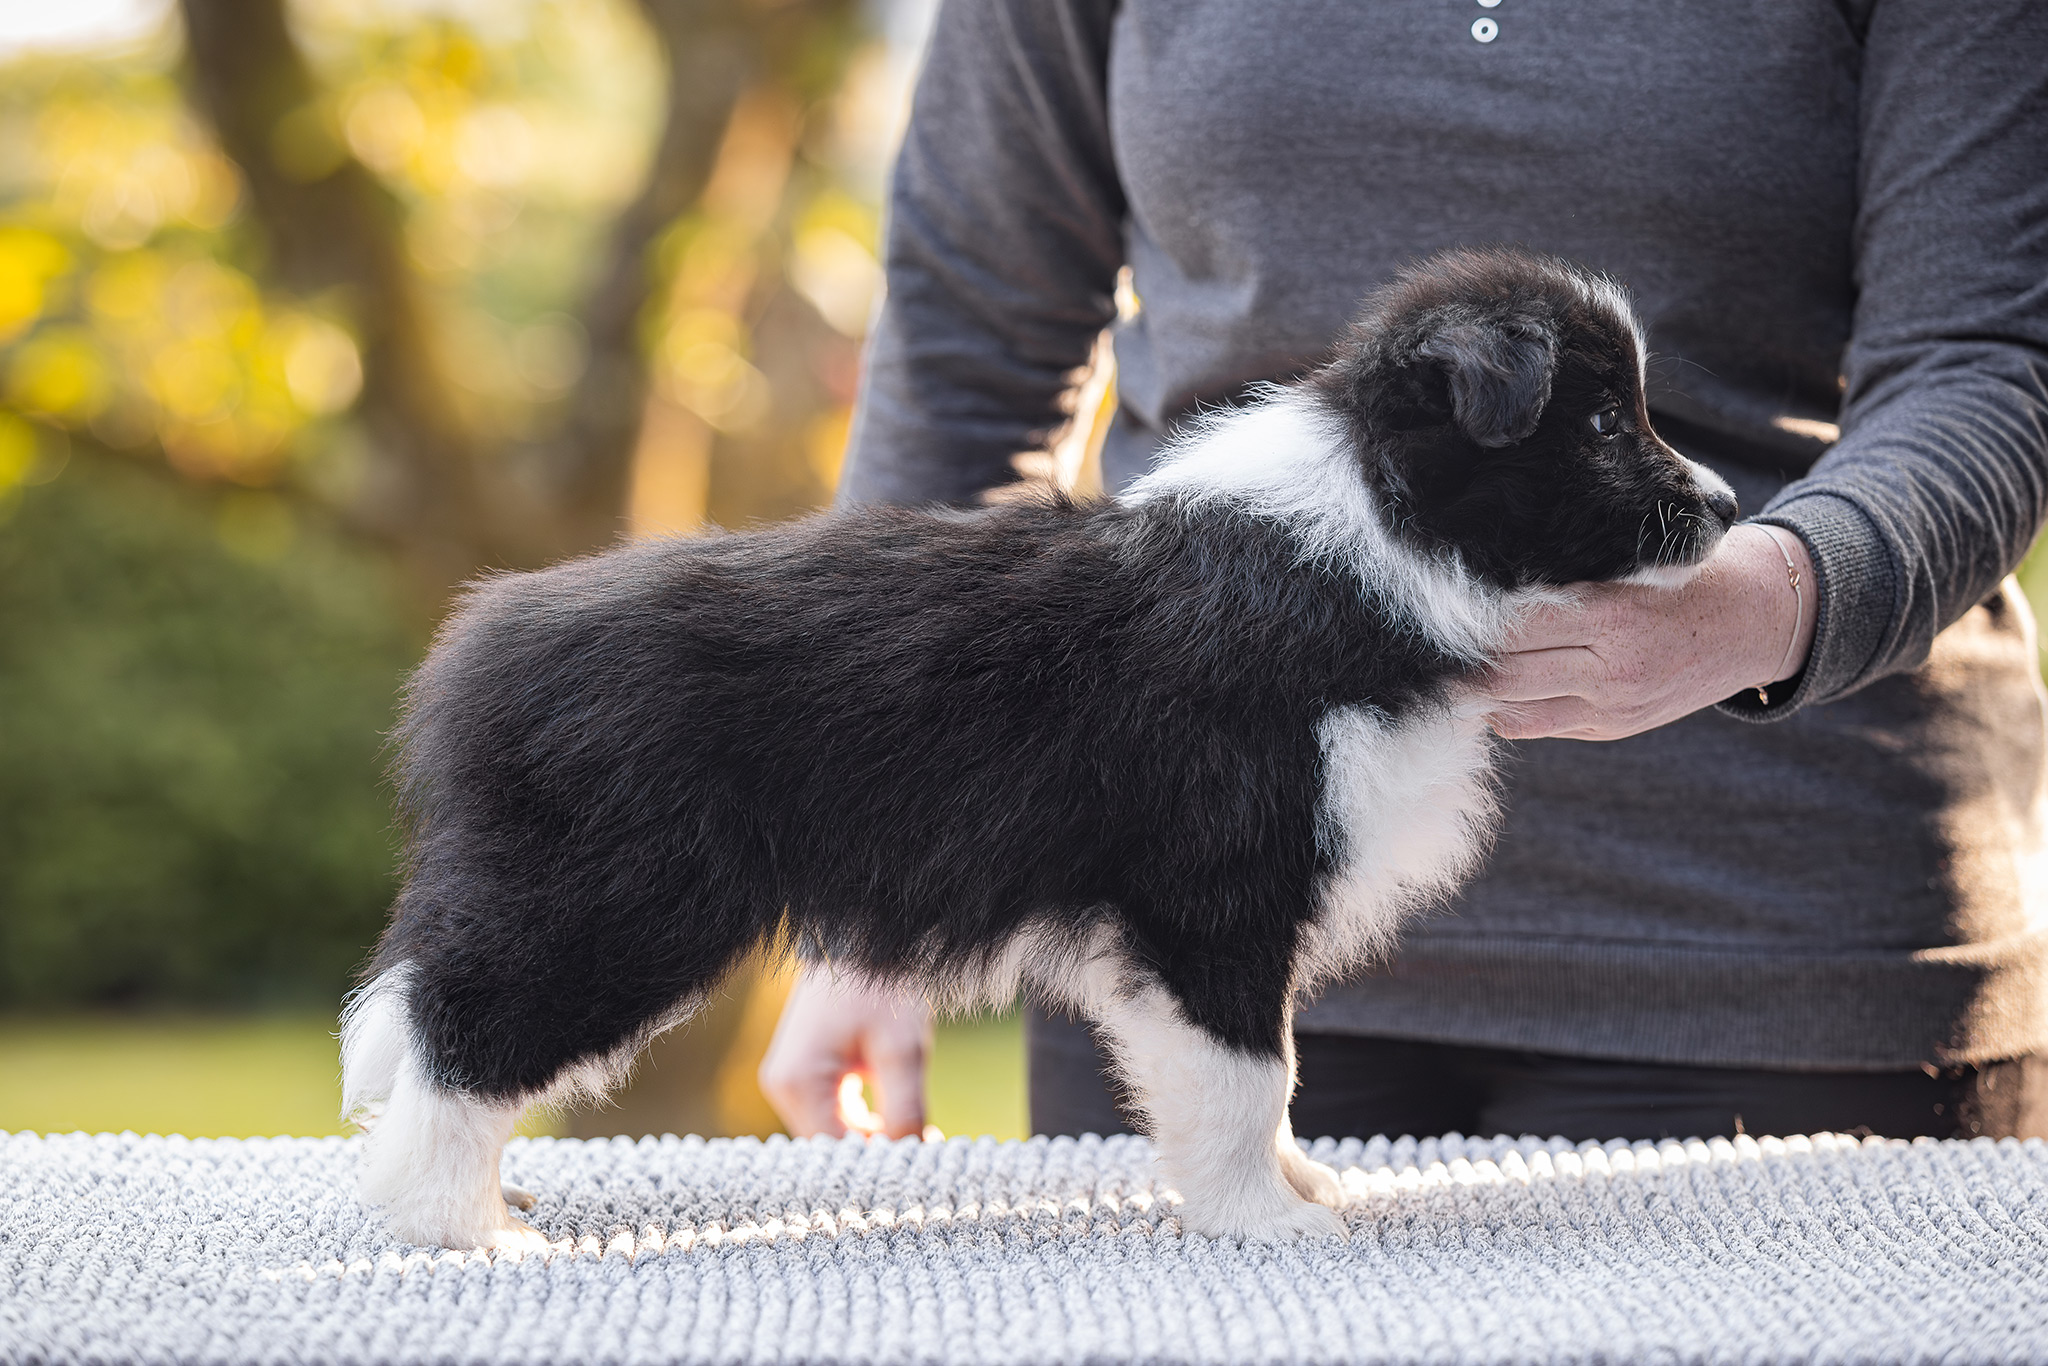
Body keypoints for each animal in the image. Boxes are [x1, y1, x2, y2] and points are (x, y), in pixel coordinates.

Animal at [344, 245, 1736, 1253]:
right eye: (1602, 425)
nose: (1725, 507)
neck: (1370, 530)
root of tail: (486, 645)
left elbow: (1258, 1077)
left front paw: (1294, 1188)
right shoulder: (1212, 890)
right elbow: (1250, 1070)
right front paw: (1264, 1219)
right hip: (620, 898)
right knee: (465, 1032)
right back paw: (462, 1227)